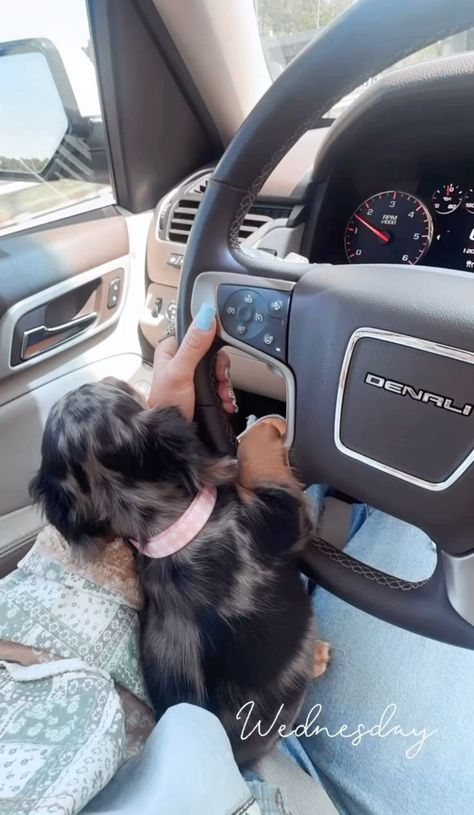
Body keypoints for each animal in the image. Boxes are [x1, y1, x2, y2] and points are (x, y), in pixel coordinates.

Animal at [28, 376, 326, 764]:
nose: (107, 377)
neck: (169, 527)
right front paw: (265, 426)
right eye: (121, 395)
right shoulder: (282, 516)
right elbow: (258, 458)